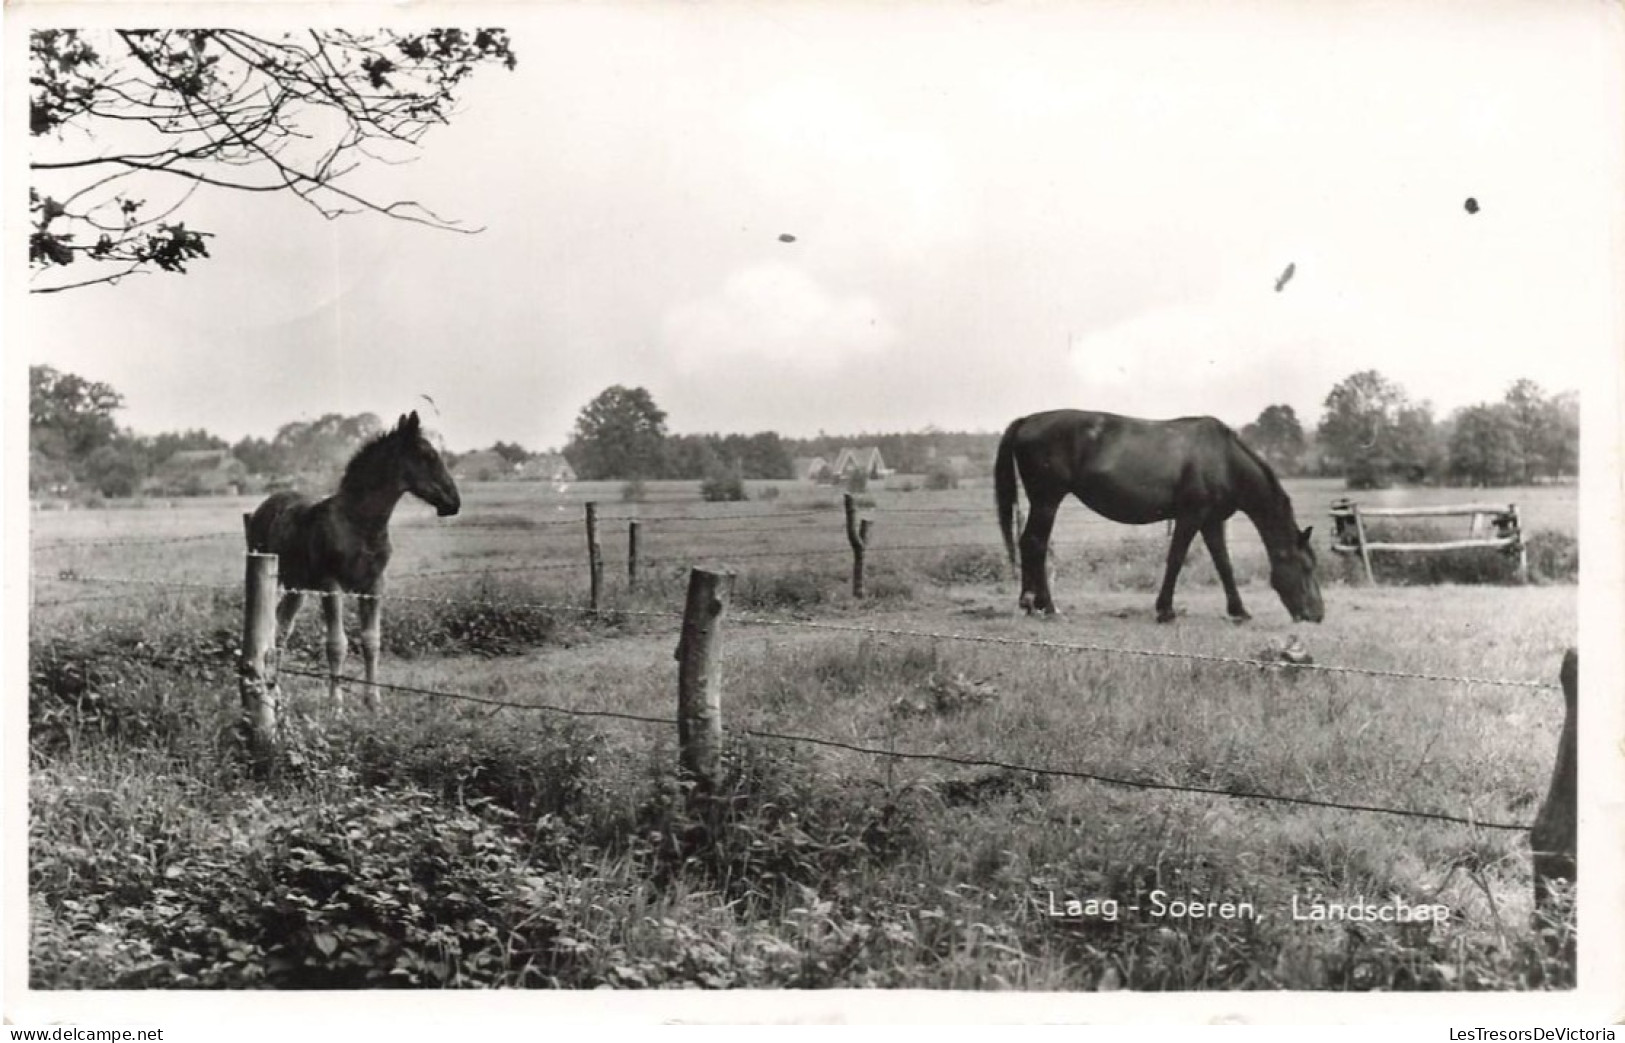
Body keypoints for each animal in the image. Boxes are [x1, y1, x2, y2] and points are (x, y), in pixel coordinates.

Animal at [247, 406, 464, 708]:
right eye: (427, 455)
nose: (453, 503)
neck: (360, 523)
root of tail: (263, 507)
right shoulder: (331, 585)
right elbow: (337, 644)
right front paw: (335, 704)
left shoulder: (374, 585)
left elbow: (371, 641)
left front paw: (373, 701)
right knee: (275, 628)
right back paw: (273, 691)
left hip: (296, 587)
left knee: (281, 626)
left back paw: (274, 689)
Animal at [988, 407, 1319, 620]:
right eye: (1306, 568)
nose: (1317, 614)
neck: (1223, 460)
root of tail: (1027, 421)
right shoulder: (1190, 516)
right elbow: (1176, 559)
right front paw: (1165, 610)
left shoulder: (1211, 522)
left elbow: (1224, 564)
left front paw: (1239, 610)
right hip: (1047, 500)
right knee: (1035, 544)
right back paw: (1046, 606)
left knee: (1028, 543)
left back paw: (1029, 604)